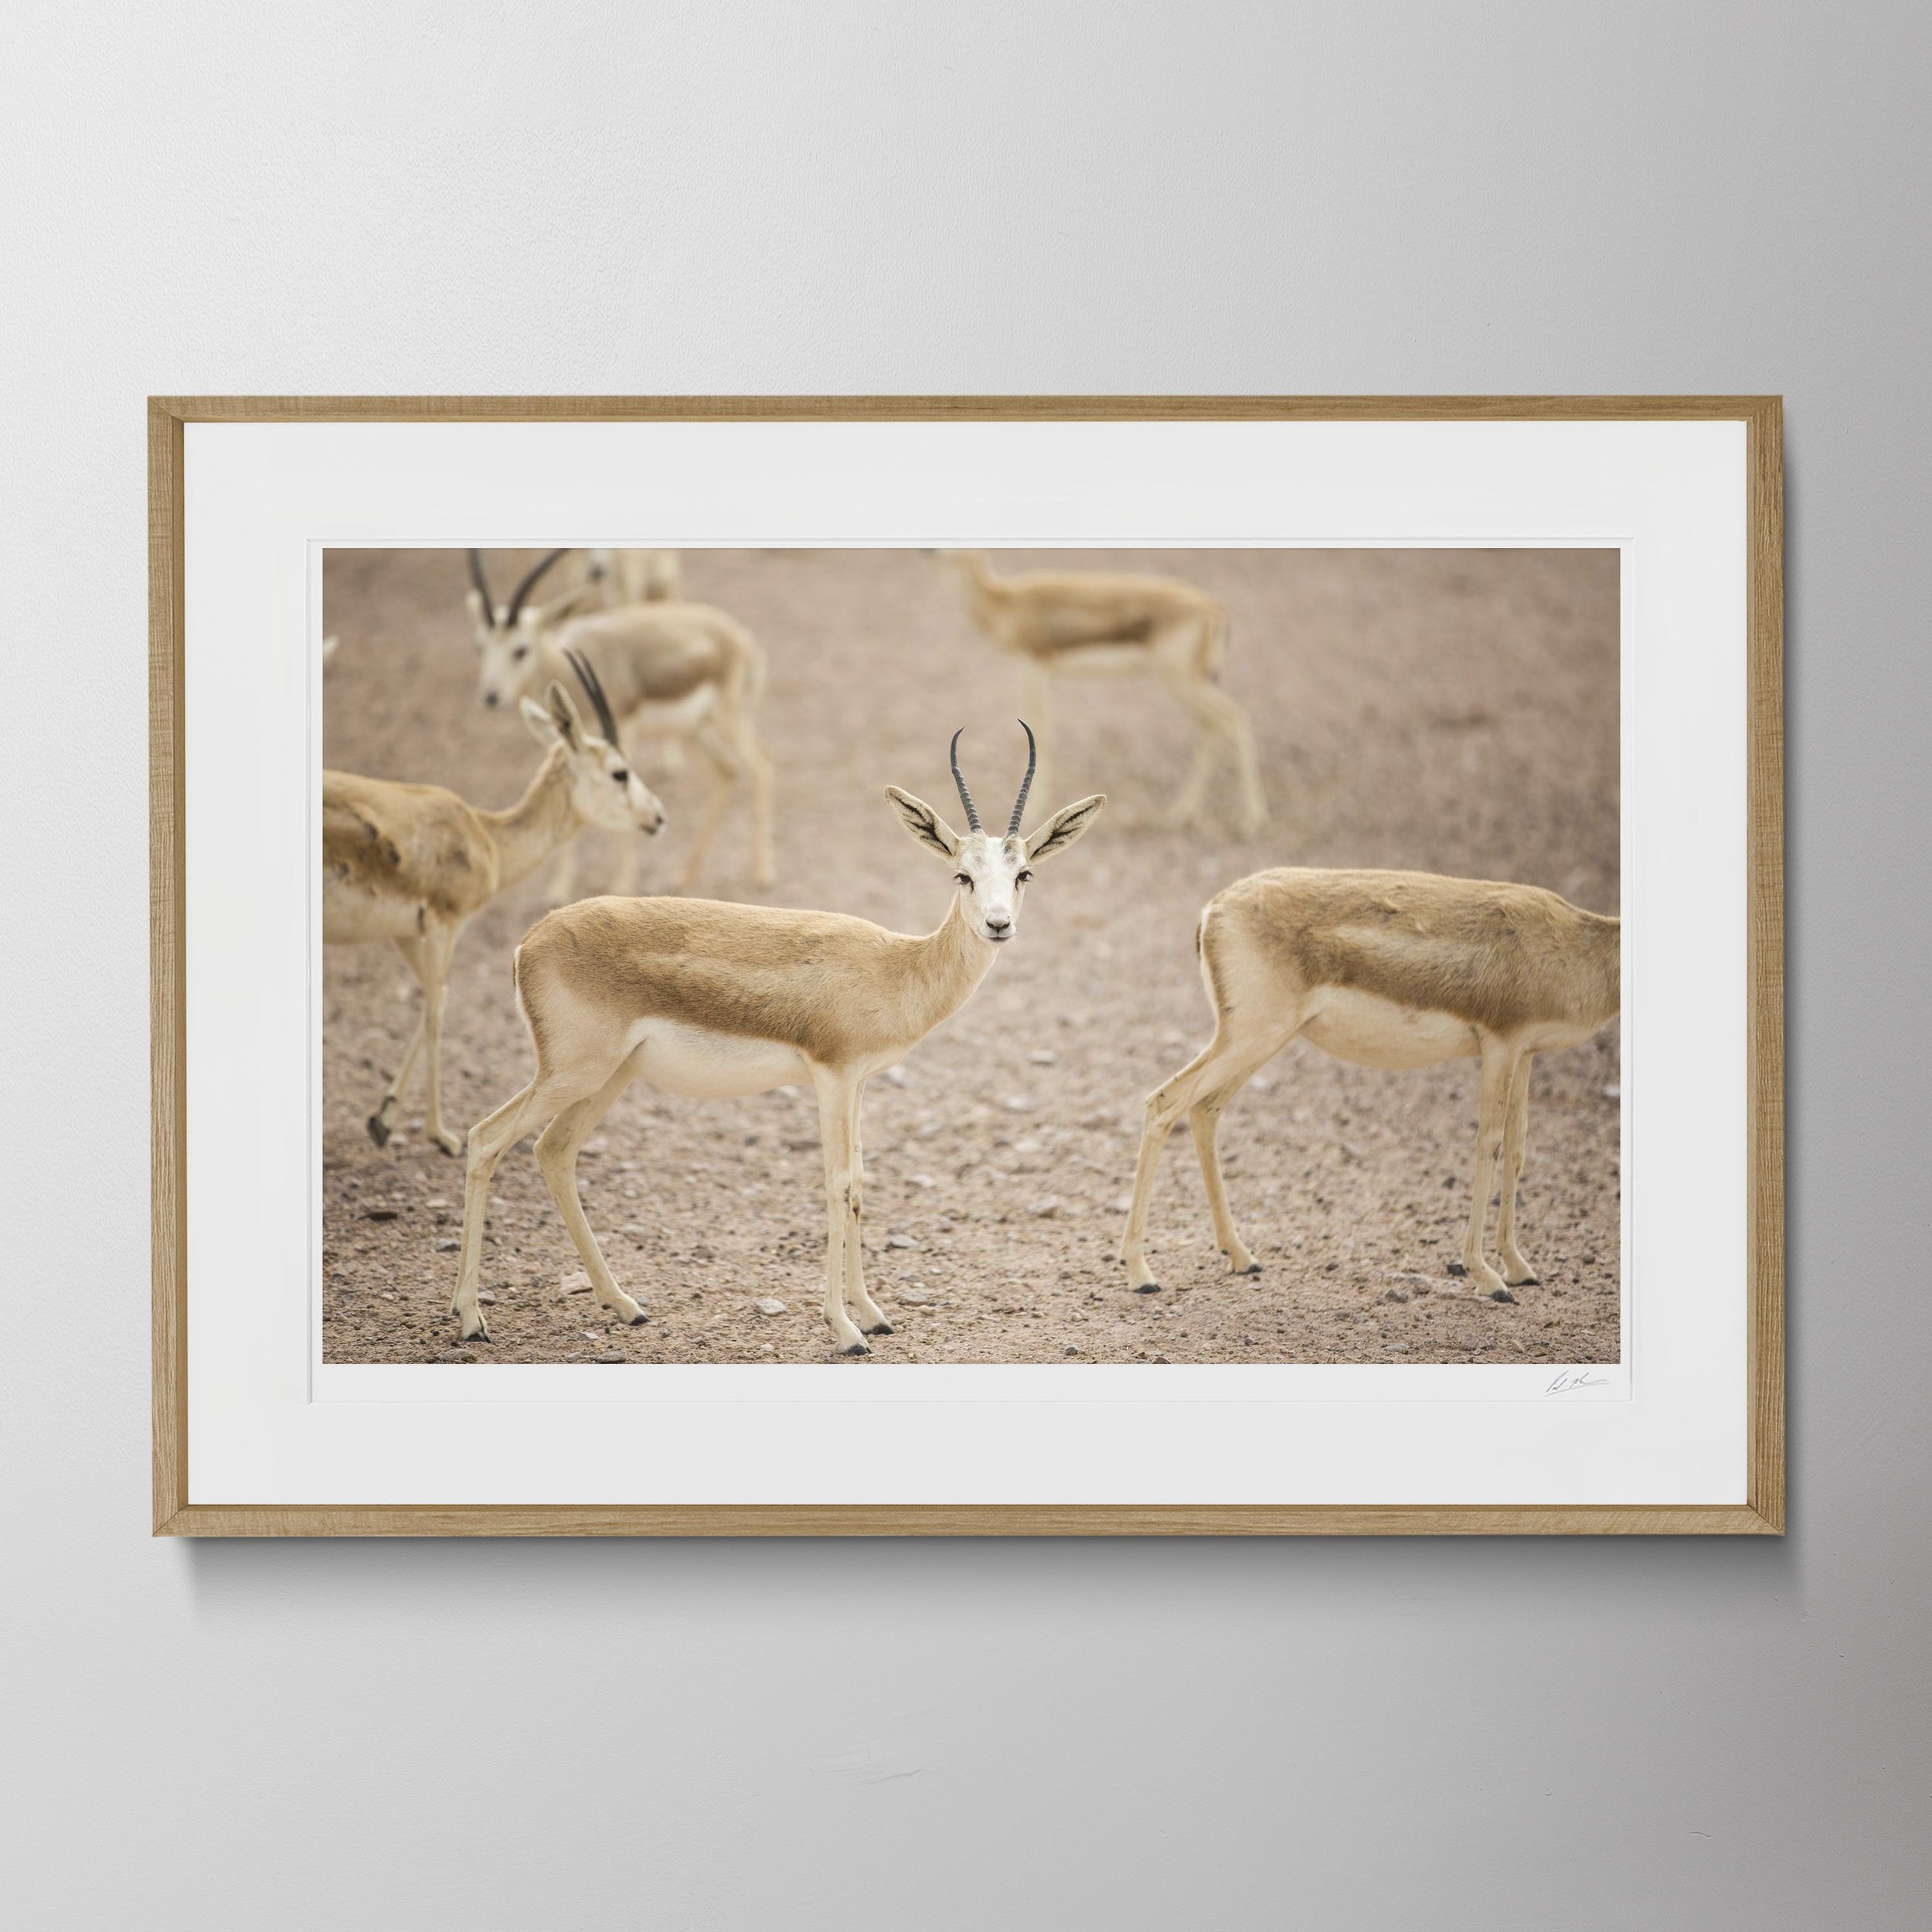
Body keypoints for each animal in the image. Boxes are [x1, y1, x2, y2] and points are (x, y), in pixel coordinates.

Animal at [324, 658, 666, 1155]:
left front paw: (382, 1119)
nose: (658, 817)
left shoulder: (408, 932)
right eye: (620, 772)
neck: (487, 838)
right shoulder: (445, 923)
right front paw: (440, 1135)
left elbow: (435, 999)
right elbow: (436, 1012)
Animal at [449, 724, 1106, 1353]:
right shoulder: (832, 1076)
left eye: (1023, 873)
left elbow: (860, 1183)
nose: (999, 925)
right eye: (962, 874)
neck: (895, 967)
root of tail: (531, 940)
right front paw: (845, 1331)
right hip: (571, 1072)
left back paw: (625, 1304)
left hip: (611, 1076)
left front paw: (874, 1314)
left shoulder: (859, 1083)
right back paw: (471, 1319)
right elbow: (837, 1185)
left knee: (553, 1151)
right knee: (485, 1139)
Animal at [466, 549, 775, 895]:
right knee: (726, 772)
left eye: (520, 649)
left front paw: (622, 884)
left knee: (761, 767)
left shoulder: (624, 725)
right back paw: (685, 876)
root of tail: (744, 639)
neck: (559, 662)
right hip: (695, 729)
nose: (491, 696)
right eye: (481, 646)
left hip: (729, 719)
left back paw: (761, 872)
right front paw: (559, 889)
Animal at [942, 551, 1268, 835]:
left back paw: (1251, 821)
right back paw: (1183, 813)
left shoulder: (1035, 666)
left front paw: (1036, 809)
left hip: (1181, 682)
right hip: (1193, 684)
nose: (932, 550)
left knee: (1235, 719)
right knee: (1211, 727)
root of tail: (1212, 607)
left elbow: (1041, 731)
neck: (1005, 601)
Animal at [1119, 869, 1620, 1302]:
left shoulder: (1525, 1053)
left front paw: (1518, 1267)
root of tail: (1214, 909)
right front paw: (1487, 1277)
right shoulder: (1500, 1045)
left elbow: (1516, 1149)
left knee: (1204, 1109)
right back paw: (1141, 1273)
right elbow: (1488, 1147)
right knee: (1164, 1102)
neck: (1577, 944)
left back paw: (1241, 1256)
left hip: (1259, 1041)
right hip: (1250, 1036)